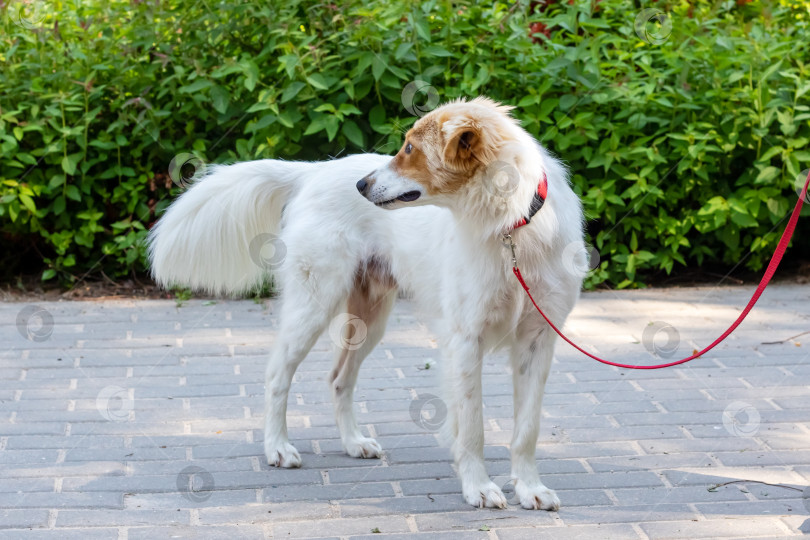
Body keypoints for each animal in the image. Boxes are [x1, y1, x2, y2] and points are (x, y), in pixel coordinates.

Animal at [148, 98, 584, 510]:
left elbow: (527, 429)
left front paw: (529, 489)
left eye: (410, 148)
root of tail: (315, 172)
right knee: (277, 375)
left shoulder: (538, 340)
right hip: (314, 306)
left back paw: (353, 442)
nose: (361, 184)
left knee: (339, 378)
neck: (513, 227)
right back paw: (278, 447)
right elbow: (473, 426)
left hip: (370, 320)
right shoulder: (465, 339)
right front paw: (478, 487)